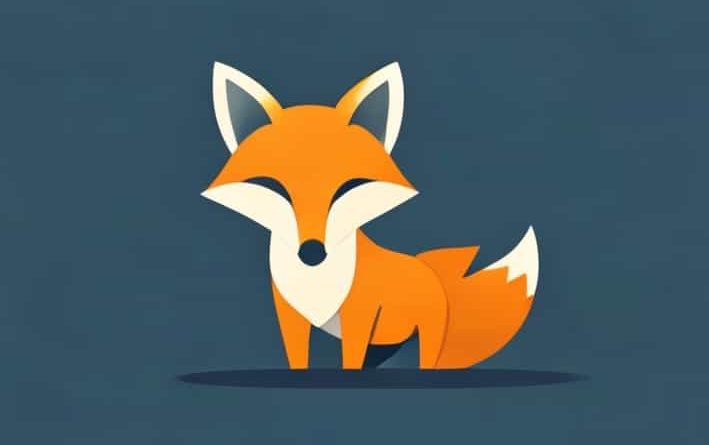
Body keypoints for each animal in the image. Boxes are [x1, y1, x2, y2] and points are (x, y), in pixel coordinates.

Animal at [202, 61, 539, 370]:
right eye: (274, 188)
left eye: (349, 187)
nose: (311, 252)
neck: (315, 280)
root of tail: (429, 268)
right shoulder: (289, 314)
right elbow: (298, 358)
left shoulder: (359, 315)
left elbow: (351, 359)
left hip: (427, 332)